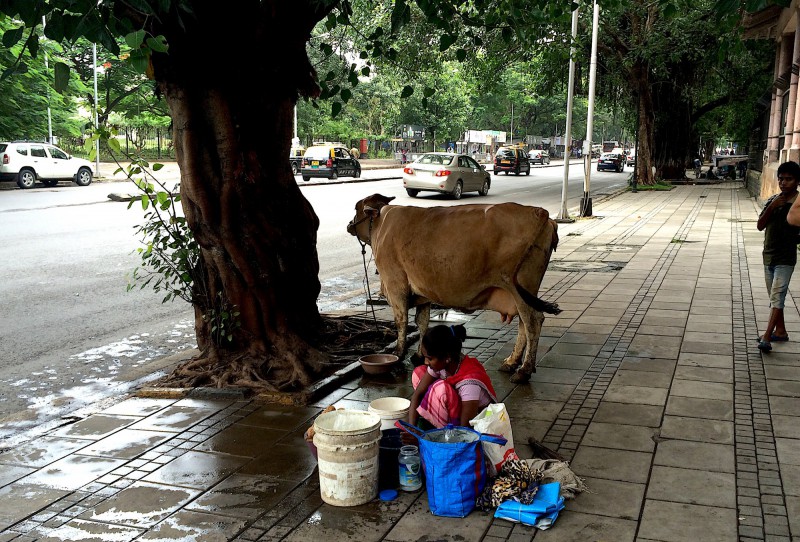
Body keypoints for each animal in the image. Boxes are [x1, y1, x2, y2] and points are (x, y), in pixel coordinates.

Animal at [346, 193, 564, 384]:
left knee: (533, 322)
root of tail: (540, 213)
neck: (381, 224)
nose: (349, 225)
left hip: (521, 288)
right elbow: (422, 321)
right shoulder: (423, 292)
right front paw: (419, 355)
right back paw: (511, 362)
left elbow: (401, 321)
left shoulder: (395, 284)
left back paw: (524, 370)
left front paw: (398, 354)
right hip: (523, 293)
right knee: (523, 324)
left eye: (356, 208)